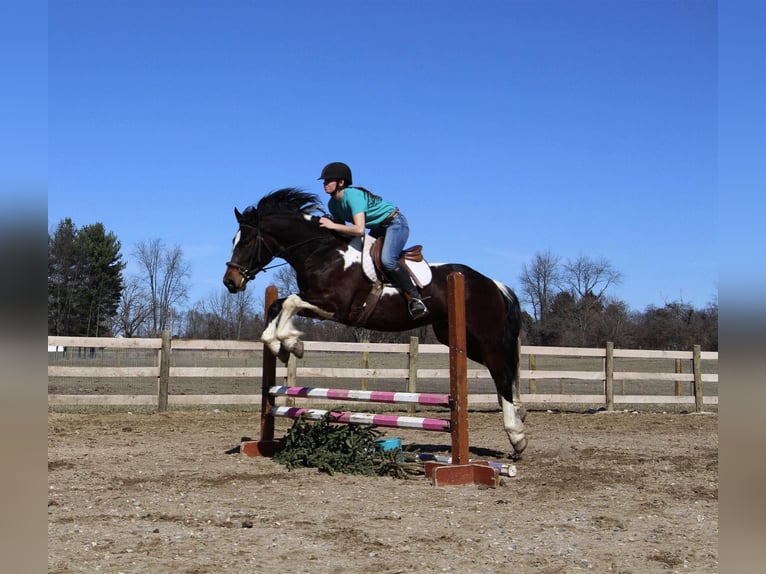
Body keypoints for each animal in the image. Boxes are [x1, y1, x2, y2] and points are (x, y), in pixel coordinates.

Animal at [224, 189, 528, 460]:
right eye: (234, 240)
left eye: (247, 241)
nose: (230, 282)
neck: (322, 253)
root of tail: (492, 283)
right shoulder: (319, 306)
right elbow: (277, 305)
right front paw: (281, 344)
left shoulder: (335, 307)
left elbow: (290, 302)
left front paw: (291, 342)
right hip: (459, 338)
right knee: (503, 372)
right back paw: (519, 423)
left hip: (485, 338)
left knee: (501, 375)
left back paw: (517, 436)